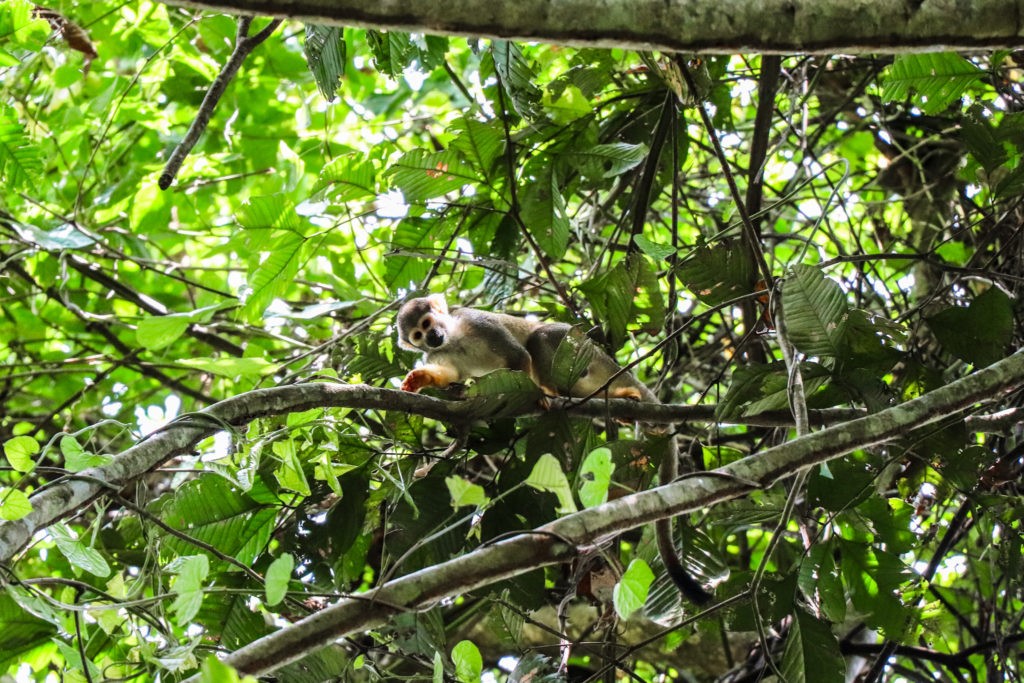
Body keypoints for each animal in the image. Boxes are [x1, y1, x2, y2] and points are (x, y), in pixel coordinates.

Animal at [395, 294, 716, 602]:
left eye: (427, 323)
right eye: (418, 335)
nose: (432, 337)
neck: (453, 337)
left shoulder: (476, 322)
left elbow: (518, 356)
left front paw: (534, 396)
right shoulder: (437, 354)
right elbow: (448, 373)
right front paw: (420, 379)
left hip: (579, 346)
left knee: (540, 338)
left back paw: (562, 391)